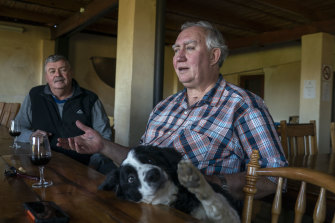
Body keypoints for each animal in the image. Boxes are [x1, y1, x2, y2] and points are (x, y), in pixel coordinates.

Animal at [99, 145, 242, 222]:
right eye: (131, 179)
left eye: (150, 160)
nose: (153, 174)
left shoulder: (233, 216)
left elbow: (216, 204)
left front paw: (195, 180)